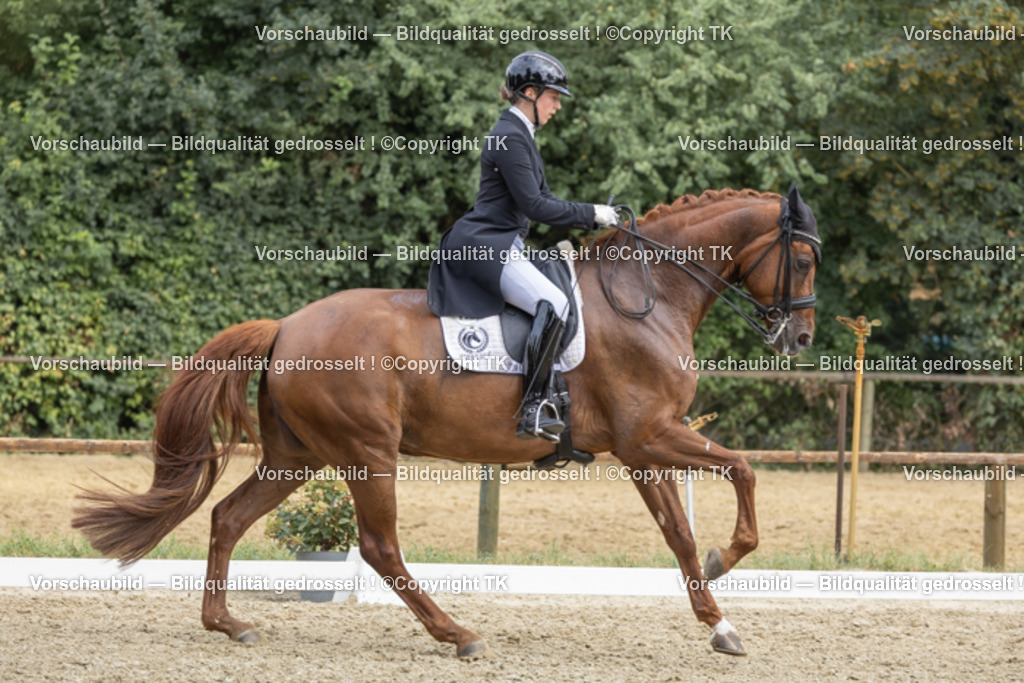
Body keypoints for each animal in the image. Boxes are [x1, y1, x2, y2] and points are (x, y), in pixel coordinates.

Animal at [72, 185, 821, 658]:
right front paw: (730, 558)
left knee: (228, 516)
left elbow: (679, 535)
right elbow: (743, 470)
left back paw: (229, 624)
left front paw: (719, 623)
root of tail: (286, 326)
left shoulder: (641, 448)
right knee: (380, 547)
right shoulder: (651, 435)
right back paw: (458, 634)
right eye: (805, 256)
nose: (801, 337)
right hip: (366, 452)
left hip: (299, 455)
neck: (649, 295)